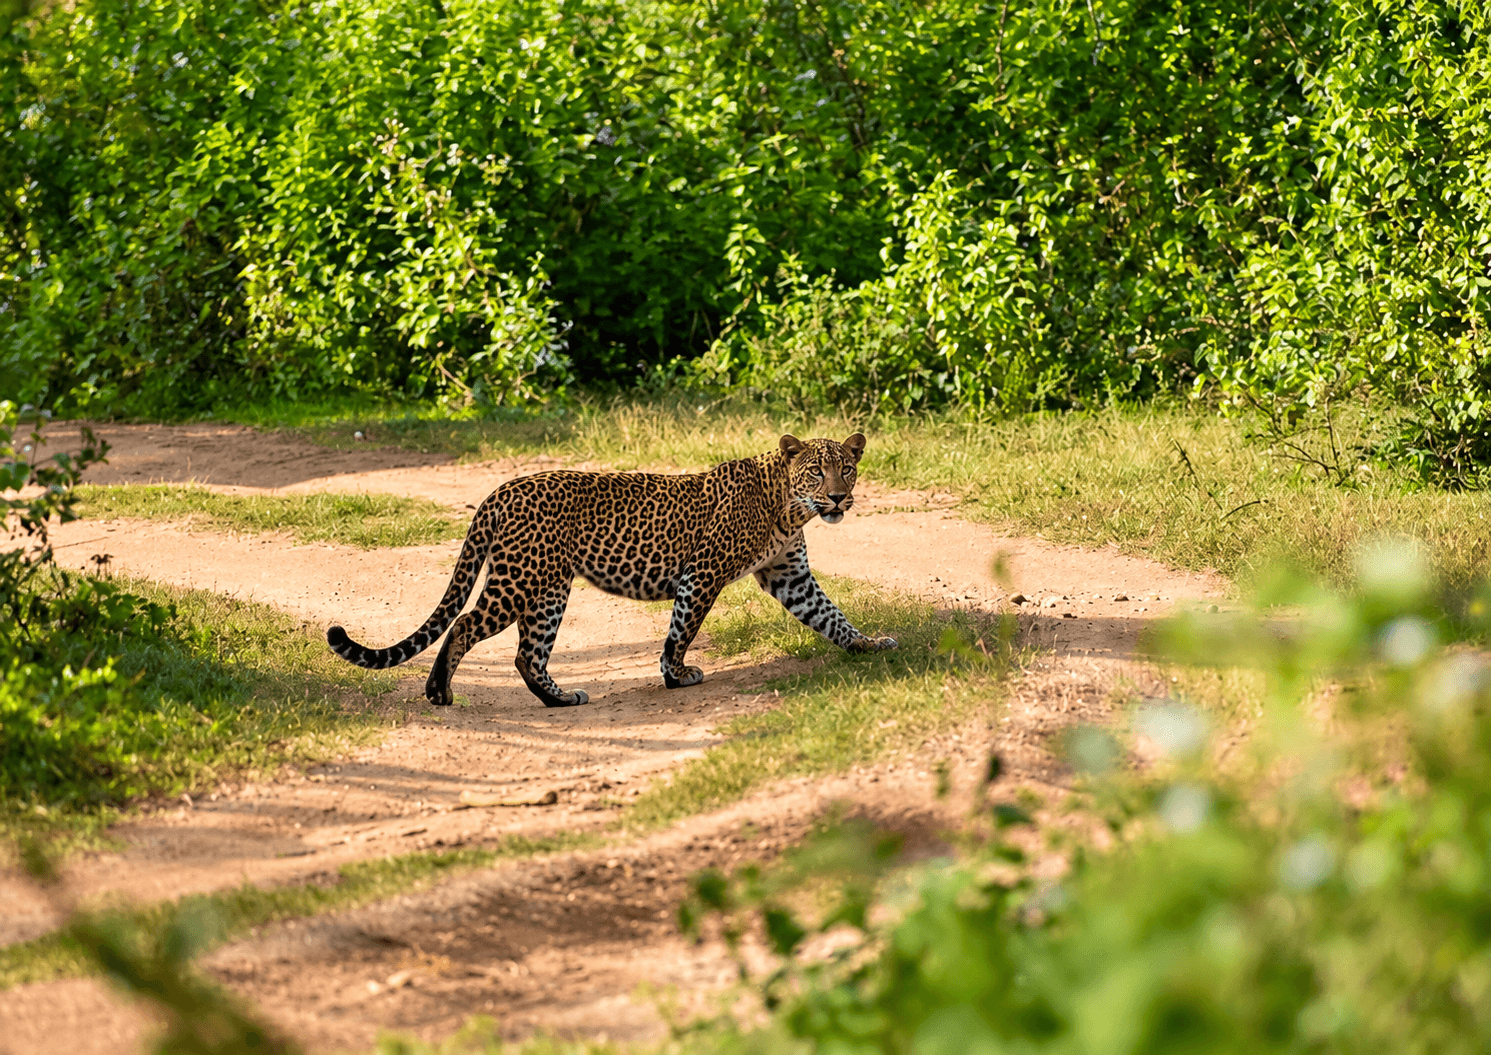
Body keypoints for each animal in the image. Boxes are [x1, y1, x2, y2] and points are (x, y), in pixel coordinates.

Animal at [326, 433, 897, 707]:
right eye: (816, 471)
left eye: (847, 468)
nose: (838, 497)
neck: (787, 505)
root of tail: (500, 490)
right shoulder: (703, 573)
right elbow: (682, 629)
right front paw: (675, 675)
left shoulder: (789, 575)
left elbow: (831, 615)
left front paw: (867, 644)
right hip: (522, 579)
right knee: (466, 625)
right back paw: (440, 692)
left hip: (547, 588)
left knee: (526, 654)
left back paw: (559, 700)